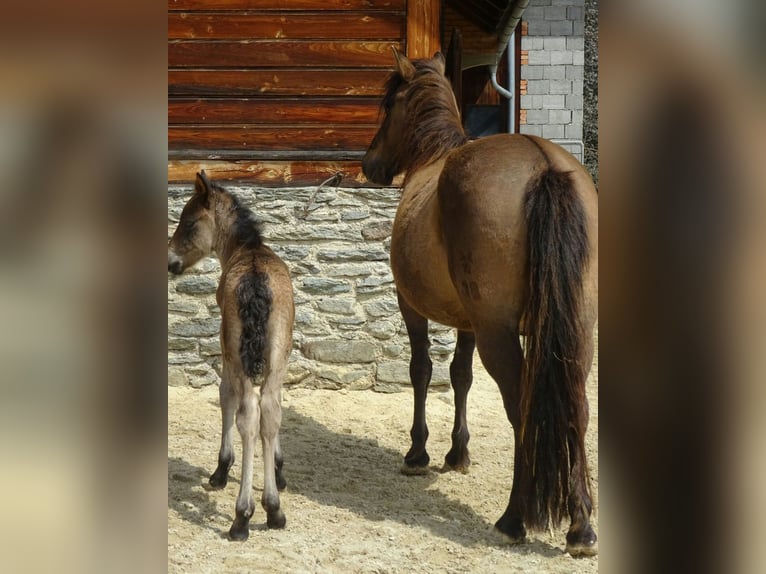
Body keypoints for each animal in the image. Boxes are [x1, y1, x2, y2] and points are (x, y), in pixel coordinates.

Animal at [170, 173, 296, 544]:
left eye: (188, 222)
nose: (170, 261)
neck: (248, 251)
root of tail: (256, 282)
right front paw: (279, 471)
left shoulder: (226, 349)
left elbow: (224, 395)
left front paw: (221, 469)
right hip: (275, 353)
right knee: (268, 411)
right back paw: (274, 510)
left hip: (238, 355)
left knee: (248, 414)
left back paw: (243, 516)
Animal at [364, 50, 600, 560]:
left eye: (388, 105)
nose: (369, 165)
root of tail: (543, 166)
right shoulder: (467, 321)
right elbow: (460, 376)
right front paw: (458, 453)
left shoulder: (411, 305)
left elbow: (422, 371)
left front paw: (418, 453)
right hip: (577, 331)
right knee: (578, 406)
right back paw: (582, 528)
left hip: (500, 334)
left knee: (522, 409)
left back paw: (513, 519)